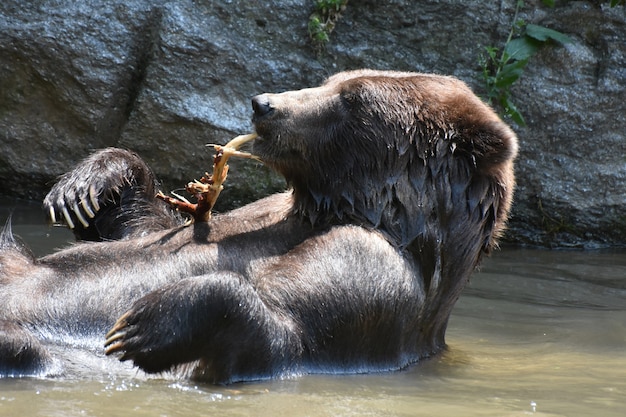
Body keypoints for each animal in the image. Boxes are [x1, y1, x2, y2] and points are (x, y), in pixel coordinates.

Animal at [0, 69, 516, 384]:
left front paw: (145, 322)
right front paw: (83, 188)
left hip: (42, 354)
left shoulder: (372, 268)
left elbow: (283, 334)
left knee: (24, 347)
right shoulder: (260, 213)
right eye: (333, 80)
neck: (344, 205)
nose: (263, 103)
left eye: (353, 99)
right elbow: (147, 227)